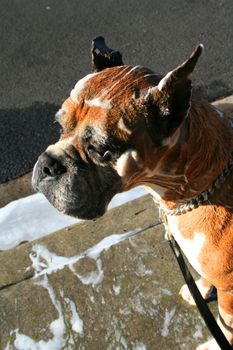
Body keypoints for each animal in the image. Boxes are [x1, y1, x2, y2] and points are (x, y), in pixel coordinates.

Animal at [32, 37, 233, 348]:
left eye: (101, 149)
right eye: (59, 125)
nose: (48, 164)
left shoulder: (230, 293)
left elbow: (225, 326)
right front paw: (199, 289)